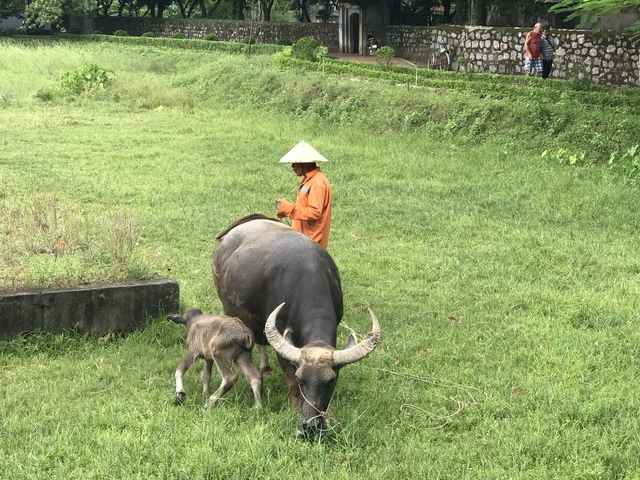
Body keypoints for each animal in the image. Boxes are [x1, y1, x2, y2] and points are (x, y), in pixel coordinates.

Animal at [212, 214, 380, 438]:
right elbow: (289, 378)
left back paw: (265, 368)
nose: (310, 427)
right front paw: (294, 411)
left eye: (330, 381)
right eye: (301, 380)